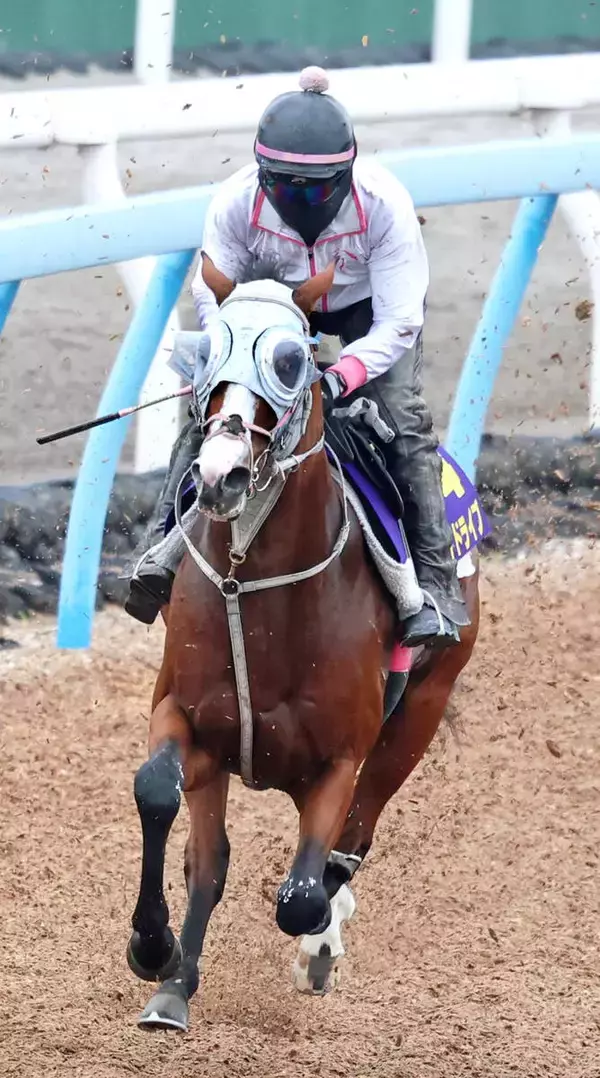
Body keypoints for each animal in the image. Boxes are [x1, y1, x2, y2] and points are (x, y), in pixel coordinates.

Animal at [126, 256, 481, 1032]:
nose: (221, 474)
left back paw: (322, 944)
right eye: (207, 350)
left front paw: (316, 935)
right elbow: (163, 802)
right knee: (216, 858)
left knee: (350, 846)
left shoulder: (342, 756)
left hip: (417, 716)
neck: (251, 583)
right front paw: (156, 952)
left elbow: (302, 894)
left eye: (291, 362)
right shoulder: (191, 721)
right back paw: (175, 984)